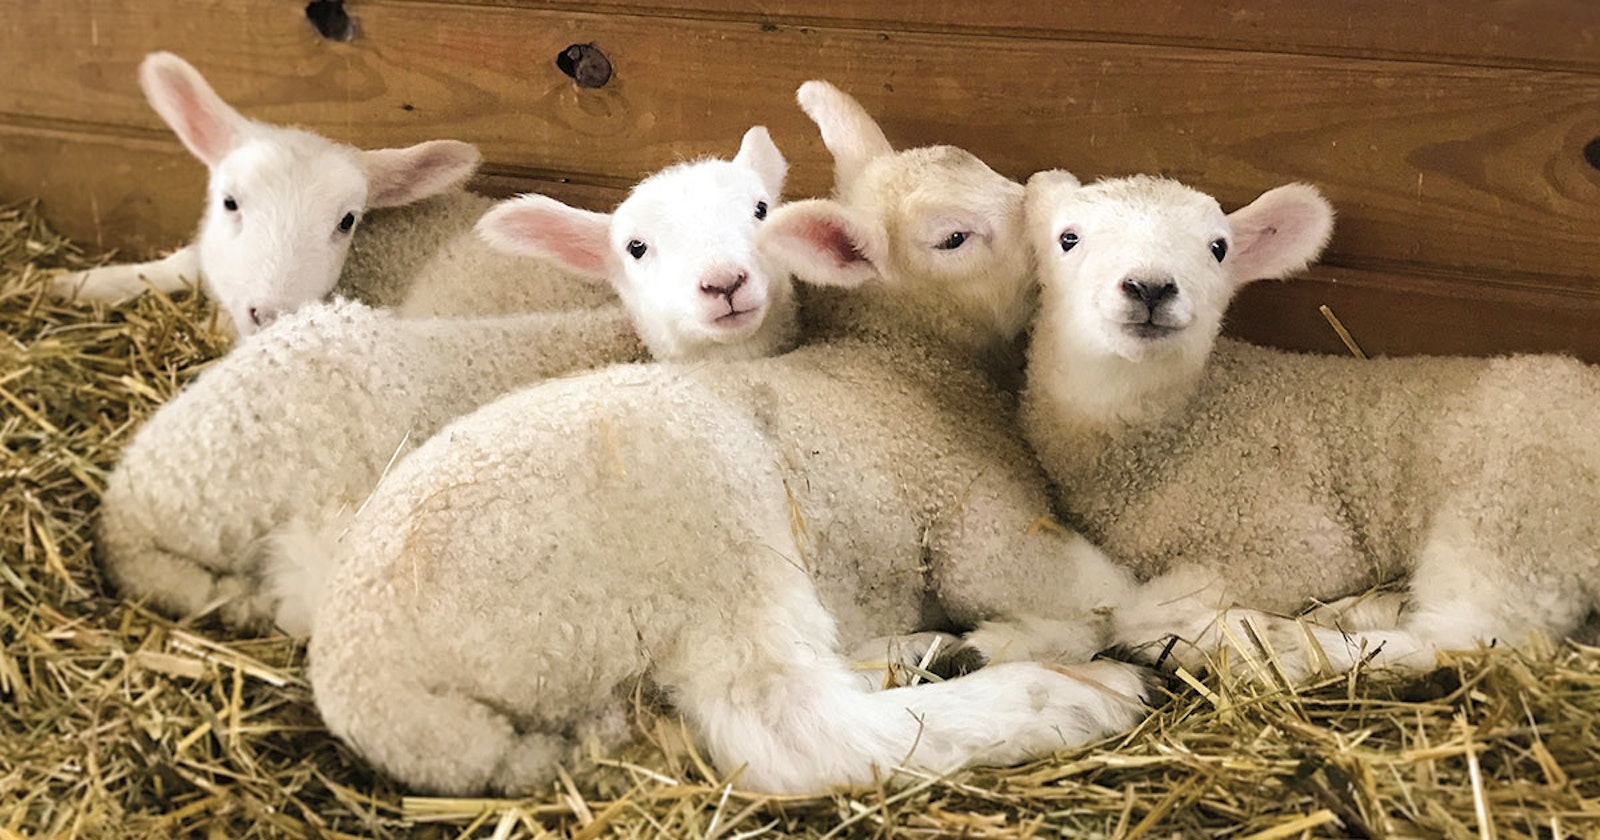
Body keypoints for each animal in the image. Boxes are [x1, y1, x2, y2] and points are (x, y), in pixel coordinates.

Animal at [305, 81, 1150, 797]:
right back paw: (1068, 699)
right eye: (954, 237)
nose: (1056, 206)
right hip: (714, 529)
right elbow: (1093, 593)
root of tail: (383, 695)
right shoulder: (979, 518)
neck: (911, 362)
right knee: (798, 732)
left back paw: (923, 653)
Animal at [1016, 171, 1600, 682]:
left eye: (1218, 248)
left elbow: (1142, 603)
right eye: (1068, 238)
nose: (1151, 288)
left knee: (1462, 639)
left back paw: (1273, 642)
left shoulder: (1301, 540)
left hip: (1517, 516)